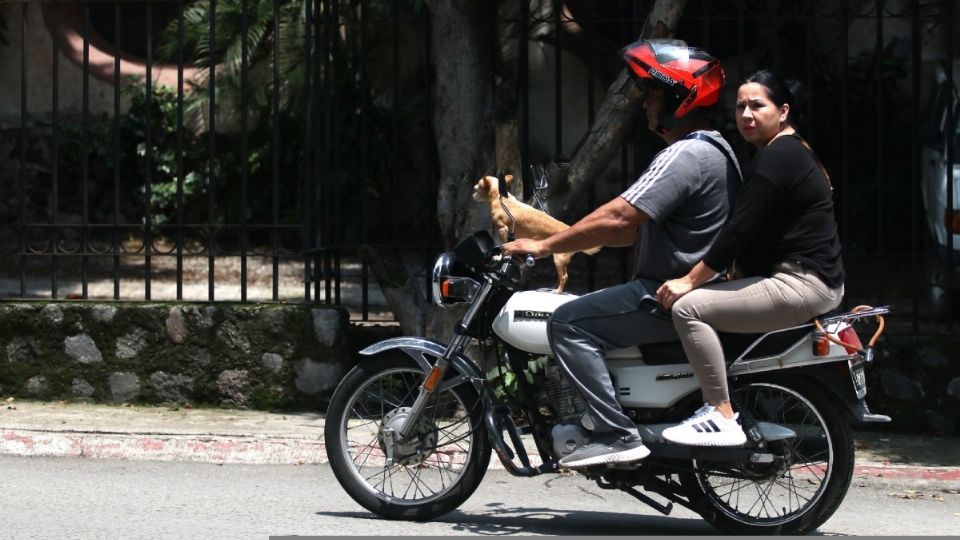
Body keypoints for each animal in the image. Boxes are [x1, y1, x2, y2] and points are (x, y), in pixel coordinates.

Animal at [472, 174, 600, 294]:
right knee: (561, 276)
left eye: (476, 189)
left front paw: (500, 257)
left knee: (564, 276)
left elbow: (503, 247)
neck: (500, 199)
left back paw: (558, 291)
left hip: (558, 259)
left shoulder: (502, 229)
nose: (472, 194)